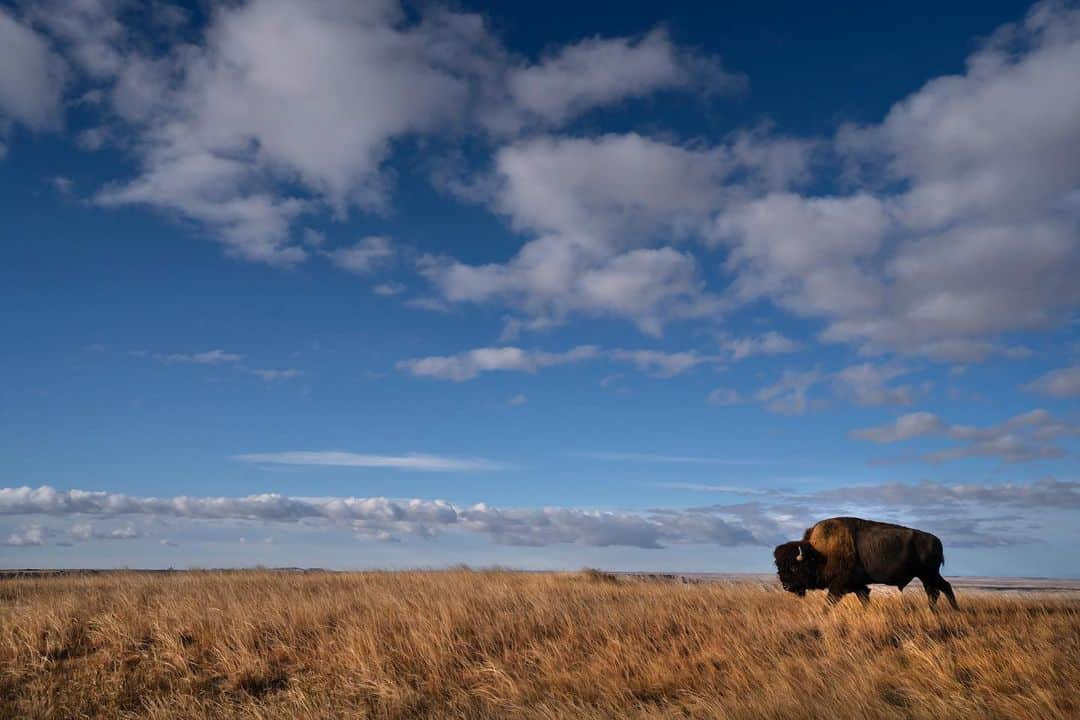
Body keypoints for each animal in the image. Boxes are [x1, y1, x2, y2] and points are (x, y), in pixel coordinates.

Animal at [773, 515, 959, 613]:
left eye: (794, 567)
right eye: (779, 567)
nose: (786, 586)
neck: (819, 553)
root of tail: (936, 540)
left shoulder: (838, 586)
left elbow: (829, 603)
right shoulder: (858, 586)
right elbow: (864, 598)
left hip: (928, 574)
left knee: (941, 588)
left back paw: (949, 610)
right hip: (927, 575)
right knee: (937, 590)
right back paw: (936, 611)